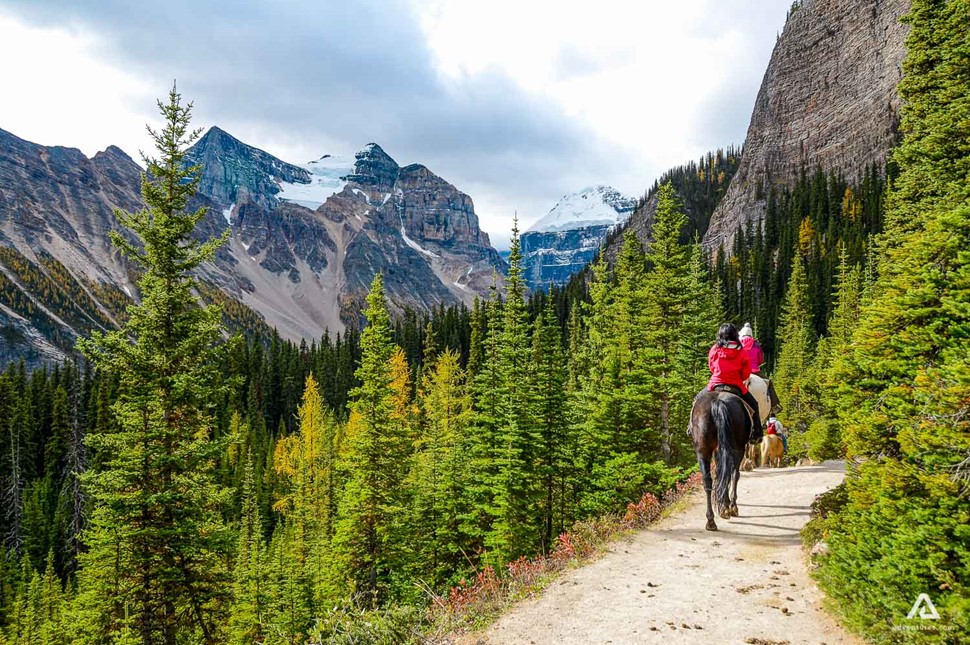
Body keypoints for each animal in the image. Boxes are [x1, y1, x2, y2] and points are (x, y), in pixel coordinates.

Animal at [684, 388, 752, 528]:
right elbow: (731, 475)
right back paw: (731, 508)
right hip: (737, 448)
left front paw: (724, 506)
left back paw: (711, 521)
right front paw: (728, 507)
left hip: (703, 451)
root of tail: (718, 402)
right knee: (732, 474)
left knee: (708, 480)